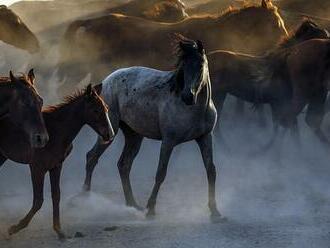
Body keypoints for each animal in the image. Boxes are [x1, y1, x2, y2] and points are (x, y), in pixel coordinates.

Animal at [0, 84, 114, 239]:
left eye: (106, 108)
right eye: (96, 110)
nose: (110, 134)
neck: (56, 131)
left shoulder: (56, 166)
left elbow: (56, 196)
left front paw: (59, 231)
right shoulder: (37, 168)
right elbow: (38, 200)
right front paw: (15, 227)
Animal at [81, 35, 223, 221]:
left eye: (200, 65)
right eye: (183, 67)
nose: (187, 96)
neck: (196, 110)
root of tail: (107, 81)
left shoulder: (205, 137)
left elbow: (211, 171)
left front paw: (215, 211)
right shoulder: (169, 141)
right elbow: (161, 173)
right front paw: (151, 209)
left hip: (134, 136)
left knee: (123, 165)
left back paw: (132, 204)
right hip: (109, 132)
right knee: (92, 157)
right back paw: (85, 199)